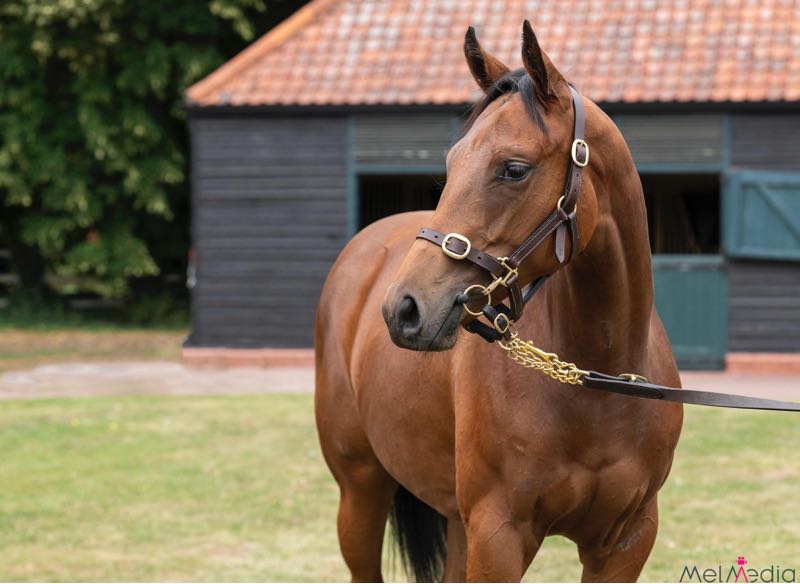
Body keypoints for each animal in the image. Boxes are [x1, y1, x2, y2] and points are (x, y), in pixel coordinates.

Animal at [315, 21, 683, 582]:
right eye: (451, 163)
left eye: (513, 169)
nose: (404, 310)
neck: (597, 387)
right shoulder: (498, 536)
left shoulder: (626, 542)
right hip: (360, 491)